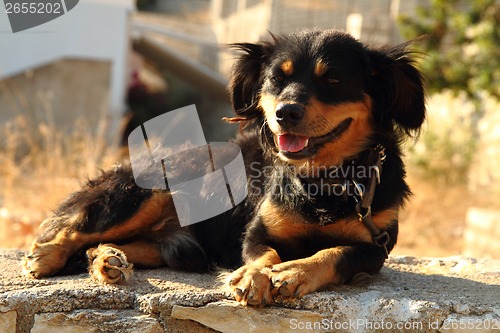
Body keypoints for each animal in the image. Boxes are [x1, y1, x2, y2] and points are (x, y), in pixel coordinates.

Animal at [21, 29, 424, 306]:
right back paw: (47, 256)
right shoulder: (256, 232)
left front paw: (294, 271)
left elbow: (335, 253)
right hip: (153, 190)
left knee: (108, 245)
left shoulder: (374, 247)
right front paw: (254, 277)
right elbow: (263, 253)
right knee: (79, 230)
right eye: (276, 79)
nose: (285, 113)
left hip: (178, 247)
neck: (324, 180)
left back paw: (109, 260)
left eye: (334, 80)